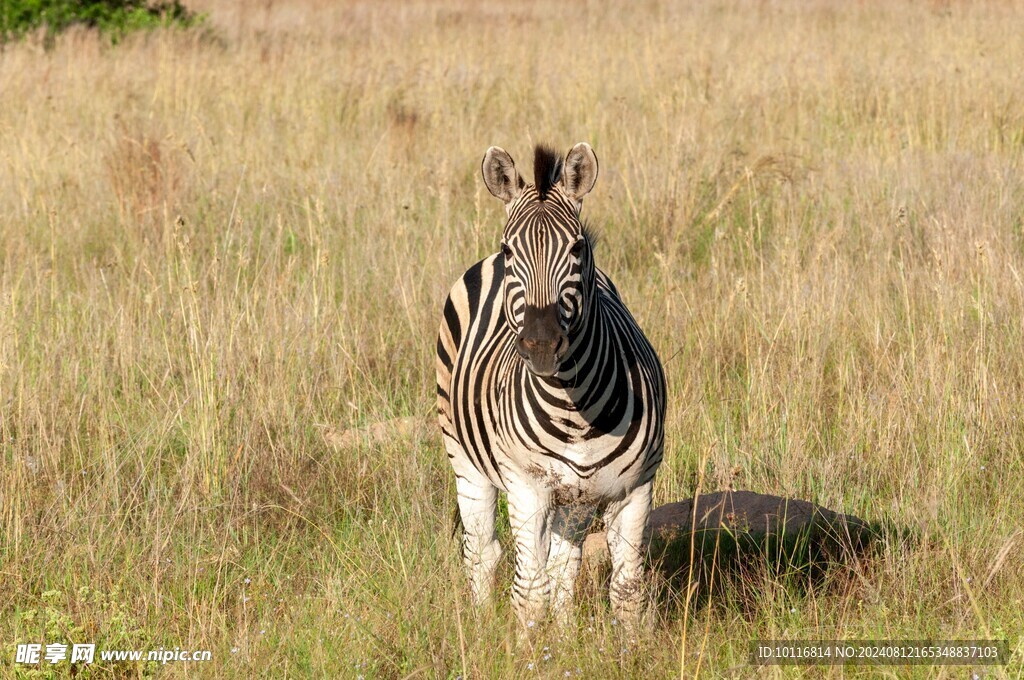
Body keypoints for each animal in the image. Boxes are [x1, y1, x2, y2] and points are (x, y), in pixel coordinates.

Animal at [436, 142, 667, 626]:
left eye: (577, 247)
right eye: (509, 250)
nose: (541, 344)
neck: (574, 411)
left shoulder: (636, 488)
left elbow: (627, 591)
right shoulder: (526, 487)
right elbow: (529, 591)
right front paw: (523, 643)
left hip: (576, 498)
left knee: (564, 564)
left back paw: (561, 635)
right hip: (463, 458)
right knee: (483, 552)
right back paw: (481, 627)